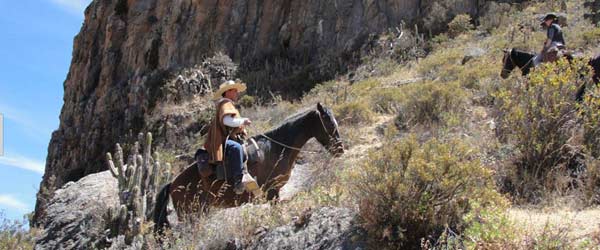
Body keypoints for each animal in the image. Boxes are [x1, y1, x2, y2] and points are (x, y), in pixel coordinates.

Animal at [152, 102, 344, 231]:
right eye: (329, 123)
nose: (340, 150)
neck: (277, 148)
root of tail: (173, 184)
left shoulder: (274, 192)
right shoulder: (272, 191)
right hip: (190, 216)